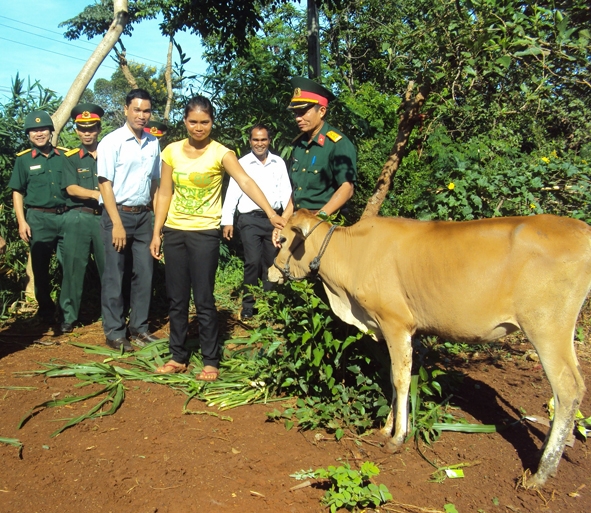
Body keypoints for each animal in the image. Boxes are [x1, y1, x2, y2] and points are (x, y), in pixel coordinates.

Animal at [270, 209, 591, 488]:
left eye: (283, 240)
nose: (271, 272)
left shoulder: (395, 323)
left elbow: (400, 379)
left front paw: (397, 438)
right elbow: (396, 378)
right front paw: (387, 427)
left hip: (547, 328)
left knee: (568, 389)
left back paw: (541, 472)